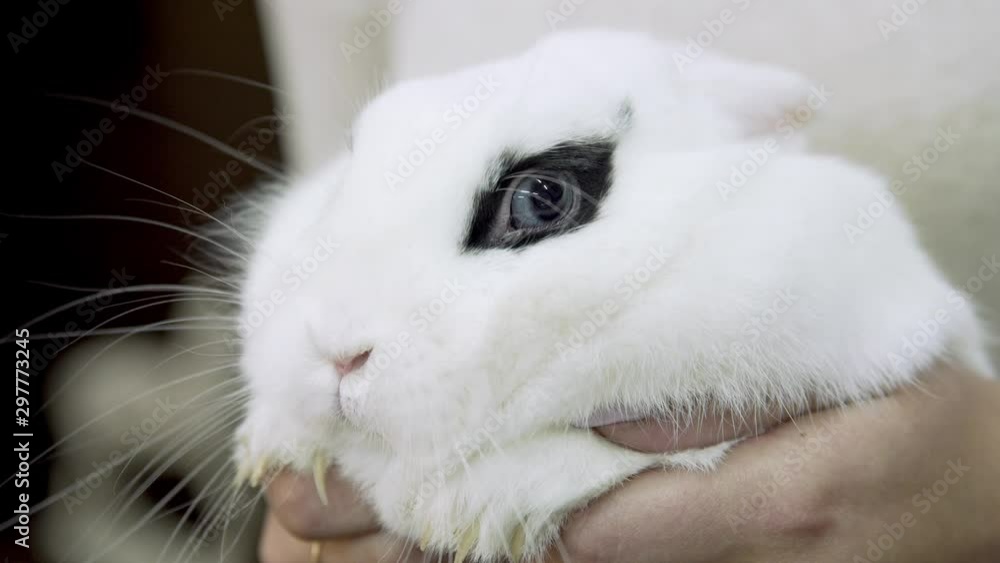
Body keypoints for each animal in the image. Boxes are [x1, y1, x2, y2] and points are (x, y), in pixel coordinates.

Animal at [232, 30, 994, 561]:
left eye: (542, 198)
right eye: (348, 168)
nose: (336, 352)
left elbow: (639, 455)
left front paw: (465, 510)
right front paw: (275, 445)